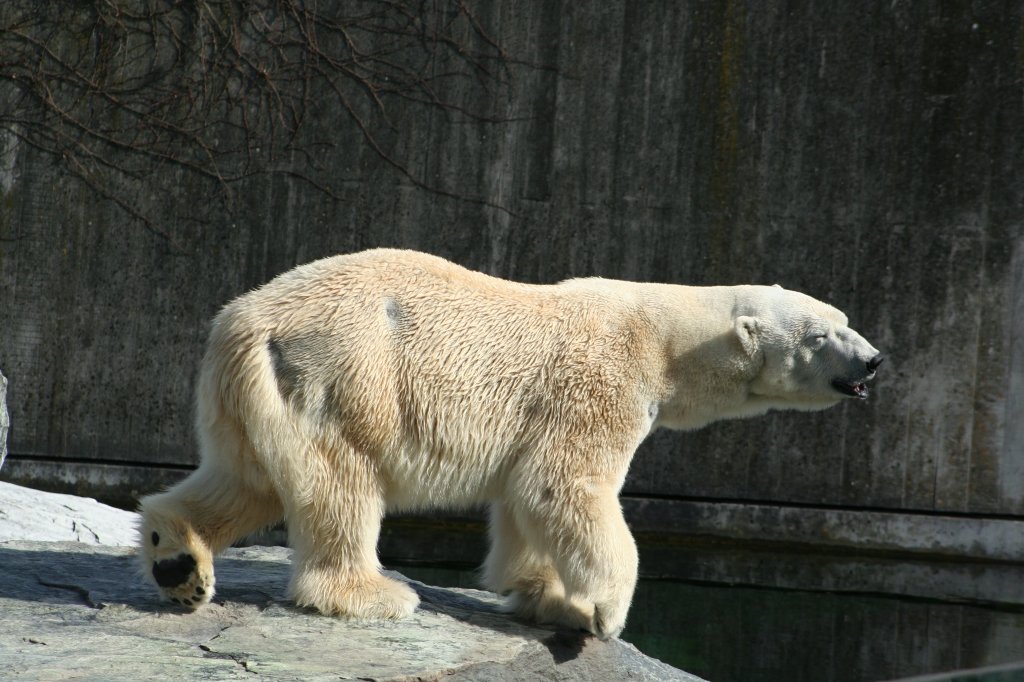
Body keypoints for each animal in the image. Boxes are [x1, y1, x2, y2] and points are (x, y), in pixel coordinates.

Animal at [140, 248, 884, 638]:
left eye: (845, 318)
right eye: (822, 335)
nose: (875, 361)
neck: (664, 336)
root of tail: (241, 322)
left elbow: (524, 503)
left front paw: (548, 598)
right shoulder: (599, 381)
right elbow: (564, 483)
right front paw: (606, 611)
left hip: (255, 395)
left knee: (244, 480)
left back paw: (178, 560)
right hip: (342, 374)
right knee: (339, 481)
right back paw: (371, 593)